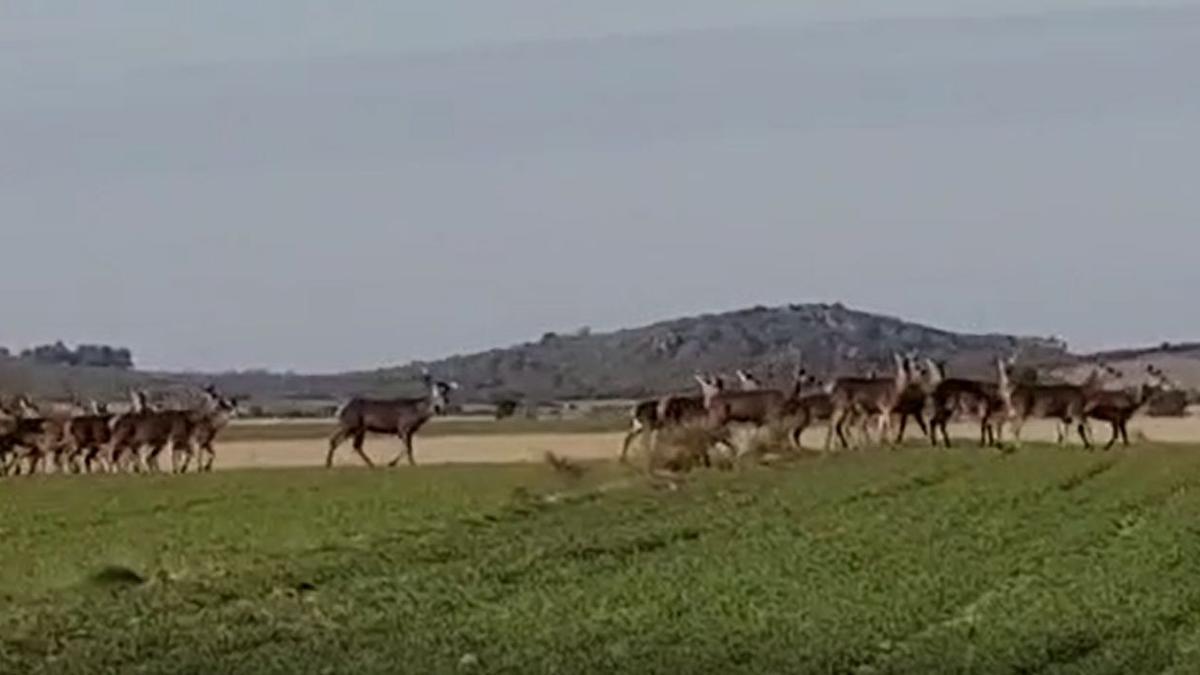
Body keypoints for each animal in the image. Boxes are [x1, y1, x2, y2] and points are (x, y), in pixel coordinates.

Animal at [326, 367, 456, 468]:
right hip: (350, 423)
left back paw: (371, 464)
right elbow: (407, 448)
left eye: (446, 398)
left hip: (359, 428)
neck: (417, 415)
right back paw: (328, 464)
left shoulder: (410, 431)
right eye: (433, 396)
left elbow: (410, 448)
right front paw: (393, 463)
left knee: (356, 445)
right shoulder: (402, 426)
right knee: (335, 440)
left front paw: (411, 463)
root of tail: (341, 408)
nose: (438, 408)